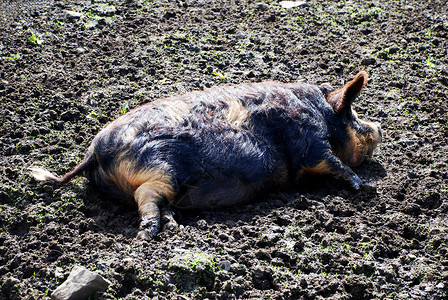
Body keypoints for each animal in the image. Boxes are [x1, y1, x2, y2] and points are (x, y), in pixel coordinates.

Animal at [30, 71, 382, 239]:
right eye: (352, 115)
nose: (379, 128)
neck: (320, 113)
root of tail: (95, 151)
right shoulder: (308, 140)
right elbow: (333, 162)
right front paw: (366, 188)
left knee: (155, 201)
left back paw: (174, 225)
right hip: (160, 167)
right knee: (146, 196)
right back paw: (150, 234)